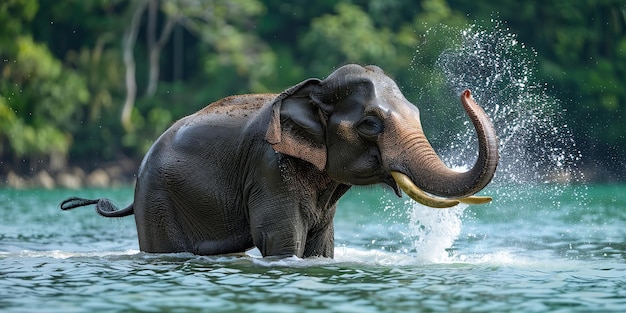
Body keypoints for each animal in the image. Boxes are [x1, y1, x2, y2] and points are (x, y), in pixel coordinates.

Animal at [59, 63, 498, 256]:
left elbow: (321, 246)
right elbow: (281, 240)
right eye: (371, 124)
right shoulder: (270, 170)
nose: (466, 92)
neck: (311, 90)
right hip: (156, 201)